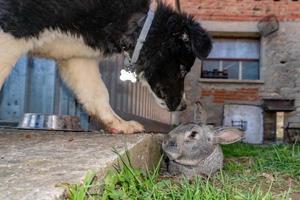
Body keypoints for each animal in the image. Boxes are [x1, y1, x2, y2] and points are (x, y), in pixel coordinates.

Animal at [0, 0, 211, 134]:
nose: (183, 106)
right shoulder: (12, 29)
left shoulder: (77, 57)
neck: (138, 25)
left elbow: (98, 94)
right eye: (183, 69)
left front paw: (119, 124)